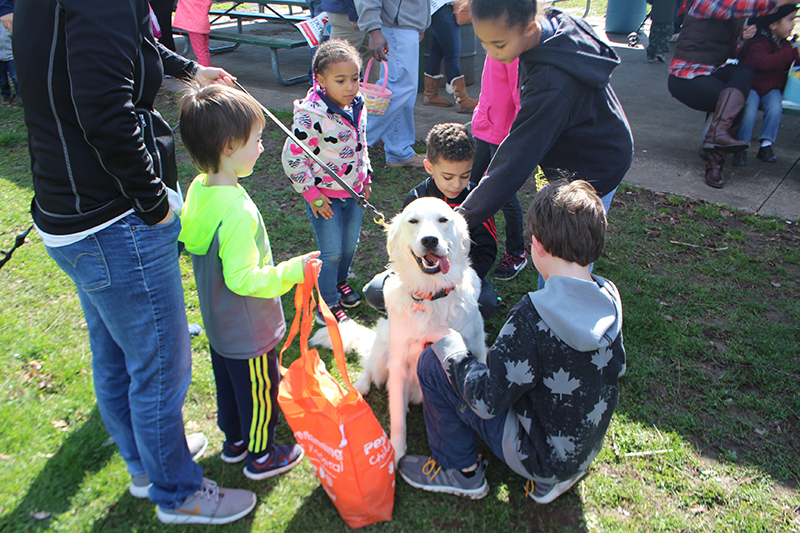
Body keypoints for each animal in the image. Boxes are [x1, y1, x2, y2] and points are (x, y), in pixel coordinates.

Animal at [312, 197, 488, 460]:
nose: (429, 240)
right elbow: (396, 419)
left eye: (443, 220)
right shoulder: (398, 365)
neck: (431, 295)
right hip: (383, 346)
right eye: (413, 221)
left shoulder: (476, 348)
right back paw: (360, 387)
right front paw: (395, 453)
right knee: (370, 368)